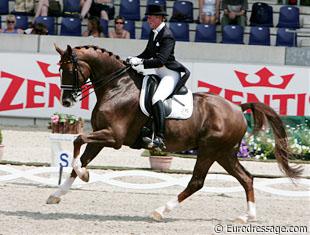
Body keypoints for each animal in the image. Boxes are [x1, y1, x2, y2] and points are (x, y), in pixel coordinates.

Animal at [46, 45, 302, 223]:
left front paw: (84, 175)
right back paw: (246, 216)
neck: (117, 87)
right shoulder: (100, 137)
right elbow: (80, 158)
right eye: (59, 69)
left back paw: (160, 211)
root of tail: (238, 108)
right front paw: (57, 194)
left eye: (70, 70)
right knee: (246, 178)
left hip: (210, 150)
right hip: (224, 153)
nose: (66, 101)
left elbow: (77, 141)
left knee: (197, 182)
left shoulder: (113, 137)